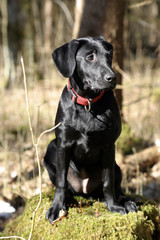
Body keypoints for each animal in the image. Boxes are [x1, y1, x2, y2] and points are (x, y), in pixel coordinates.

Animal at [44, 36, 138, 224]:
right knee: (66, 186)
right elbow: (61, 182)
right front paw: (56, 207)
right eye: (90, 57)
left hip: (117, 166)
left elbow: (108, 182)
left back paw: (126, 202)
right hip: (51, 149)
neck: (88, 103)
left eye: (109, 55)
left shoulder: (109, 146)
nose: (112, 78)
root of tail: (85, 191)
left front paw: (114, 206)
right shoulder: (63, 143)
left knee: (114, 188)